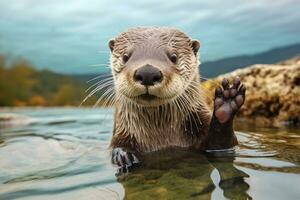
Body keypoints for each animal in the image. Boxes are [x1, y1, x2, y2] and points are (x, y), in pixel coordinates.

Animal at [106, 26, 245, 170]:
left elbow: (222, 145)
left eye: (174, 57)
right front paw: (123, 154)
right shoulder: (123, 132)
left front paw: (226, 103)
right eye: (125, 56)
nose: (147, 73)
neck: (162, 136)